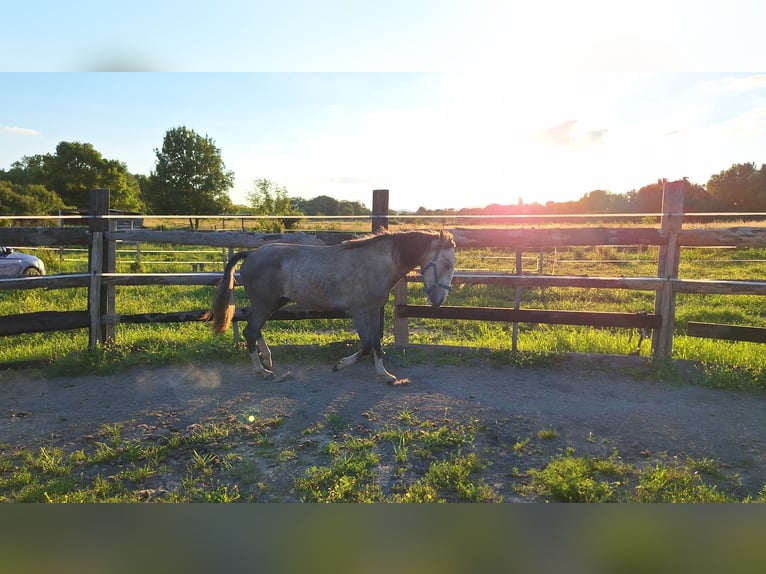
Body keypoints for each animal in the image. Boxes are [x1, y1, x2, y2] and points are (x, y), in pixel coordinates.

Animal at [204, 228, 456, 382]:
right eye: (446, 264)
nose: (438, 302)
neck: (375, 264)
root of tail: (251, 255)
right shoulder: (359, 312)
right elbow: (366, 345)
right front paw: (339, 365)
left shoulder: (374, 309)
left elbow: (376, 342)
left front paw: (384, 375)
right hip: (265, 303)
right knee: (250, 330)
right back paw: (262, 371)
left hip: (273, 302)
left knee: (253, 327)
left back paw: (267, 358)